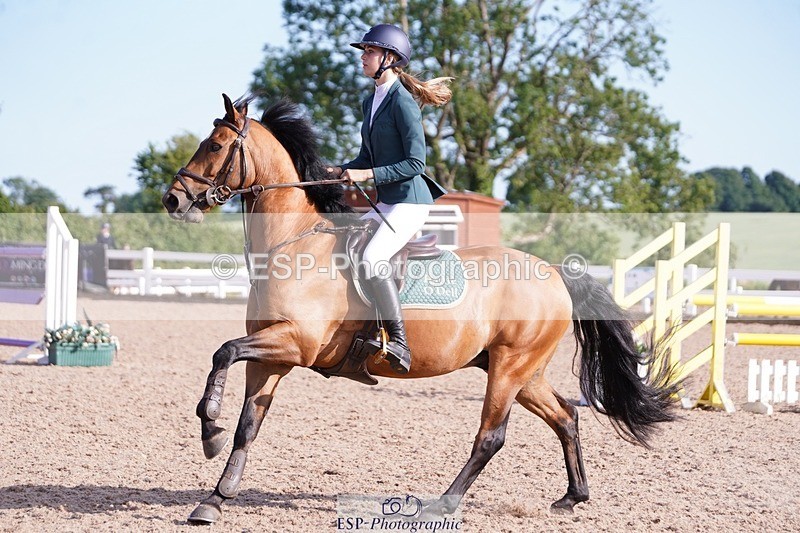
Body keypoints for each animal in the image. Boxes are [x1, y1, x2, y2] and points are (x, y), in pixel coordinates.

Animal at [162, 94, 678, 525]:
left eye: (214, 145)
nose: (173, 199)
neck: (294, 243)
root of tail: (552, 271)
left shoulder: (294, 343)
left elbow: (224, 351)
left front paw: (209, 426)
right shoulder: (272, 356)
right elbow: (247, 424)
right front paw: (215, 495)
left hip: (511, 367)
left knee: (491, 436)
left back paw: (442, 503)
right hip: (521, 371)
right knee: (566, 416)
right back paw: (572, 497)